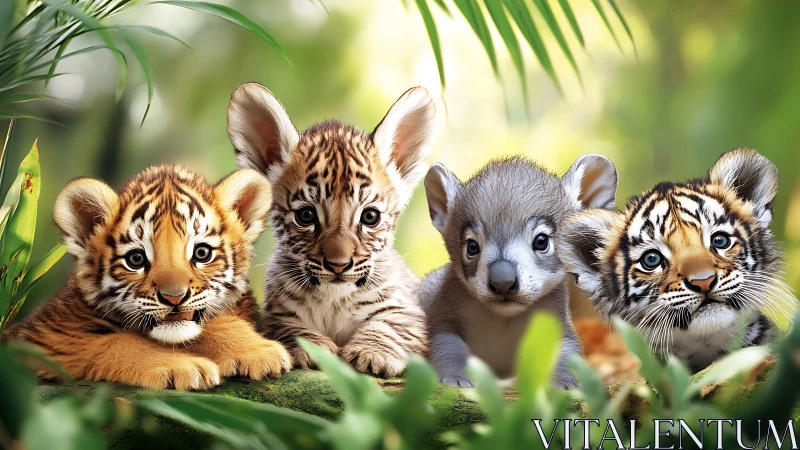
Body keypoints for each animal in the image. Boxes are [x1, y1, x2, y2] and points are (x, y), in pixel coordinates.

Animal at [5, 165, 291, 390]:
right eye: (136, 259)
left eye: (202, 253)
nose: (174, 297)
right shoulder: (50, 339)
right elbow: (116, 342)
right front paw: (184, 367)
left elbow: (221, 322)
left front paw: (259, 352)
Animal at [226, 83, 435, 377]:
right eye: (306, 215)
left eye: (370, 217)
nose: (339, 264)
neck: (335, 299)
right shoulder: (275, 315)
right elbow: (291, 328)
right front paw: (314, 348)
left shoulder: (408, 310)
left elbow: (388, 326)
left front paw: (372, 353)